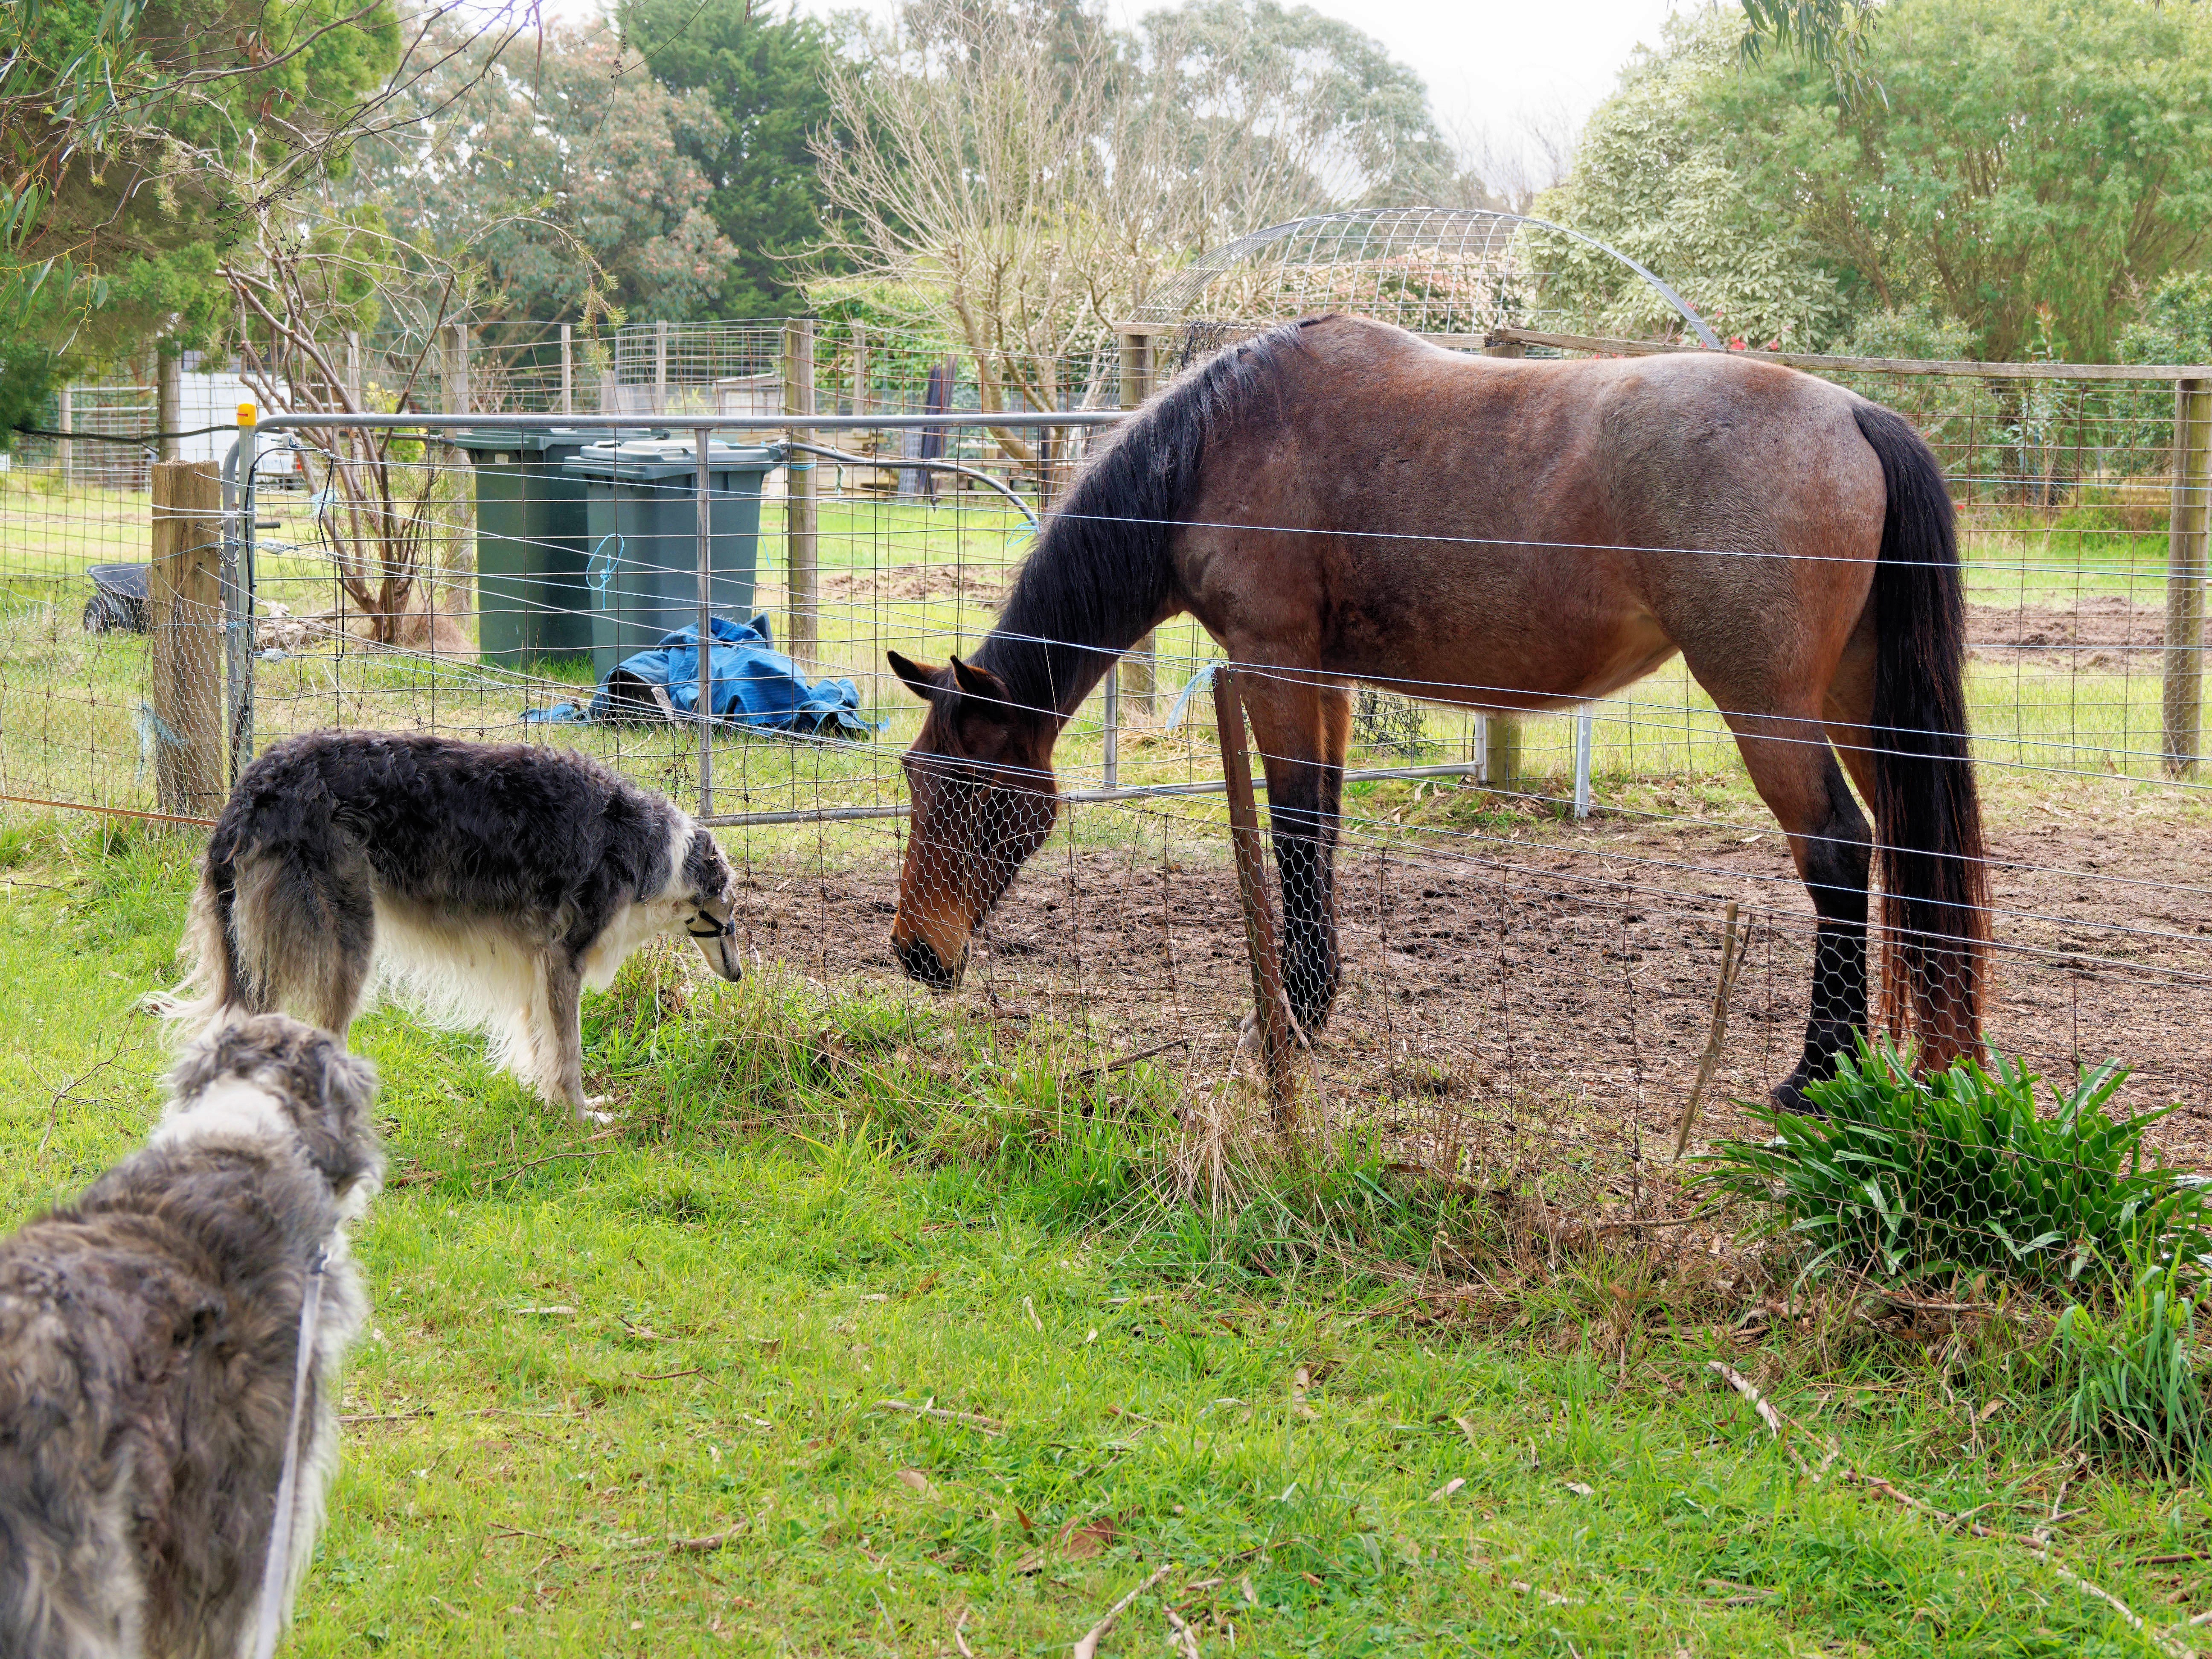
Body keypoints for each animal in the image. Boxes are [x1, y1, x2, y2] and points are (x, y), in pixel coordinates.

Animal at [883, 314, 1988, 1110]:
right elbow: (1322, 825)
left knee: (1839, 850)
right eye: (914, 778)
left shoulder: (1274, 665)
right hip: (1856, 703)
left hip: (1769, 710)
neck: (1214, 449)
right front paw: (1312, 1005)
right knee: (1910, 850)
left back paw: (1818, 1072)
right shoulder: (1321, 680)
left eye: (973, 786)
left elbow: (1293, 827)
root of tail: (1856, 415)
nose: (913, 953)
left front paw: (1287, 1019)